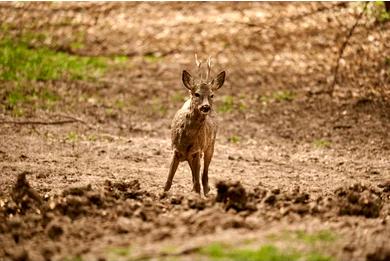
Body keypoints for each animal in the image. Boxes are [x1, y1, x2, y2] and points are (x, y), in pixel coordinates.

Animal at [164, 55, 225, 195]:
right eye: (197, 94)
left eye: (212, 95)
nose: (206, 107)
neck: (186, 139)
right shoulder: (176, 150)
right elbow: (168, 181)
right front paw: (162, 194)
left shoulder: (197, 150)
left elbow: (197, 184)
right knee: (194, 175)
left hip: (210, 145)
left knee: (203, 174)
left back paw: (207, 189)